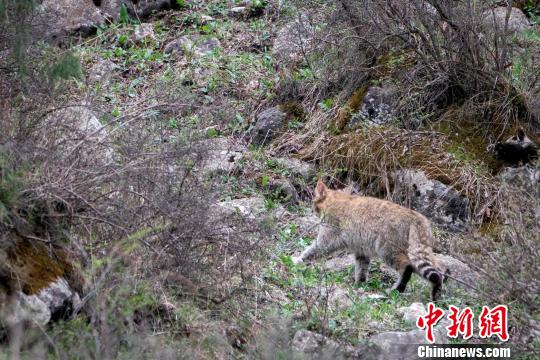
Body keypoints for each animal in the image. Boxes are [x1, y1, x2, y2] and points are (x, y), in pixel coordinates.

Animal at [294, 180, 450, 300]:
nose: (311, 208)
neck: (335, 199)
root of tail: (417, 217)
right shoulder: (361, 249)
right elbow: (361, 268)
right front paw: (360, 283)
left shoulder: (328, 238)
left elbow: (313, 249)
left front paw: (298, 259)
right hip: (416, 251)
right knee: (438, 269)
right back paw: (437, 292)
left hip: (387, 249)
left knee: (407, 267)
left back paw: (398, 289)